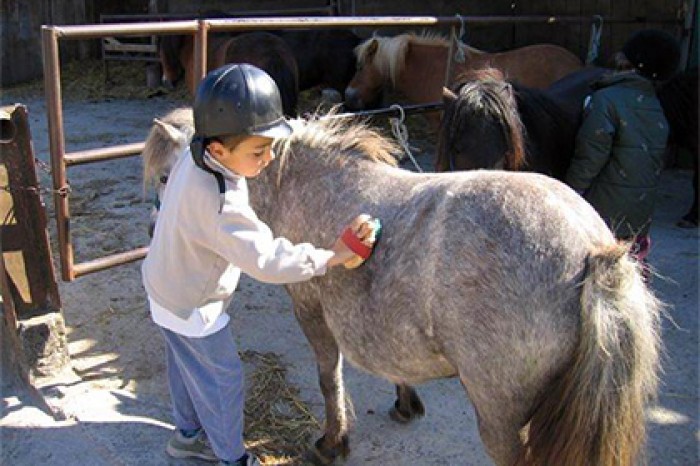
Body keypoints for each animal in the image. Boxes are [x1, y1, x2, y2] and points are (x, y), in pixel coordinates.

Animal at [141, 106, 660, 466]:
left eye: (167, 176)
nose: (154, 230)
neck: (304, 181)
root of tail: (593, 250)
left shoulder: (310, 308)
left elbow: (329, 377)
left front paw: (332, 442)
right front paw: (405, 402)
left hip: (503, 419)